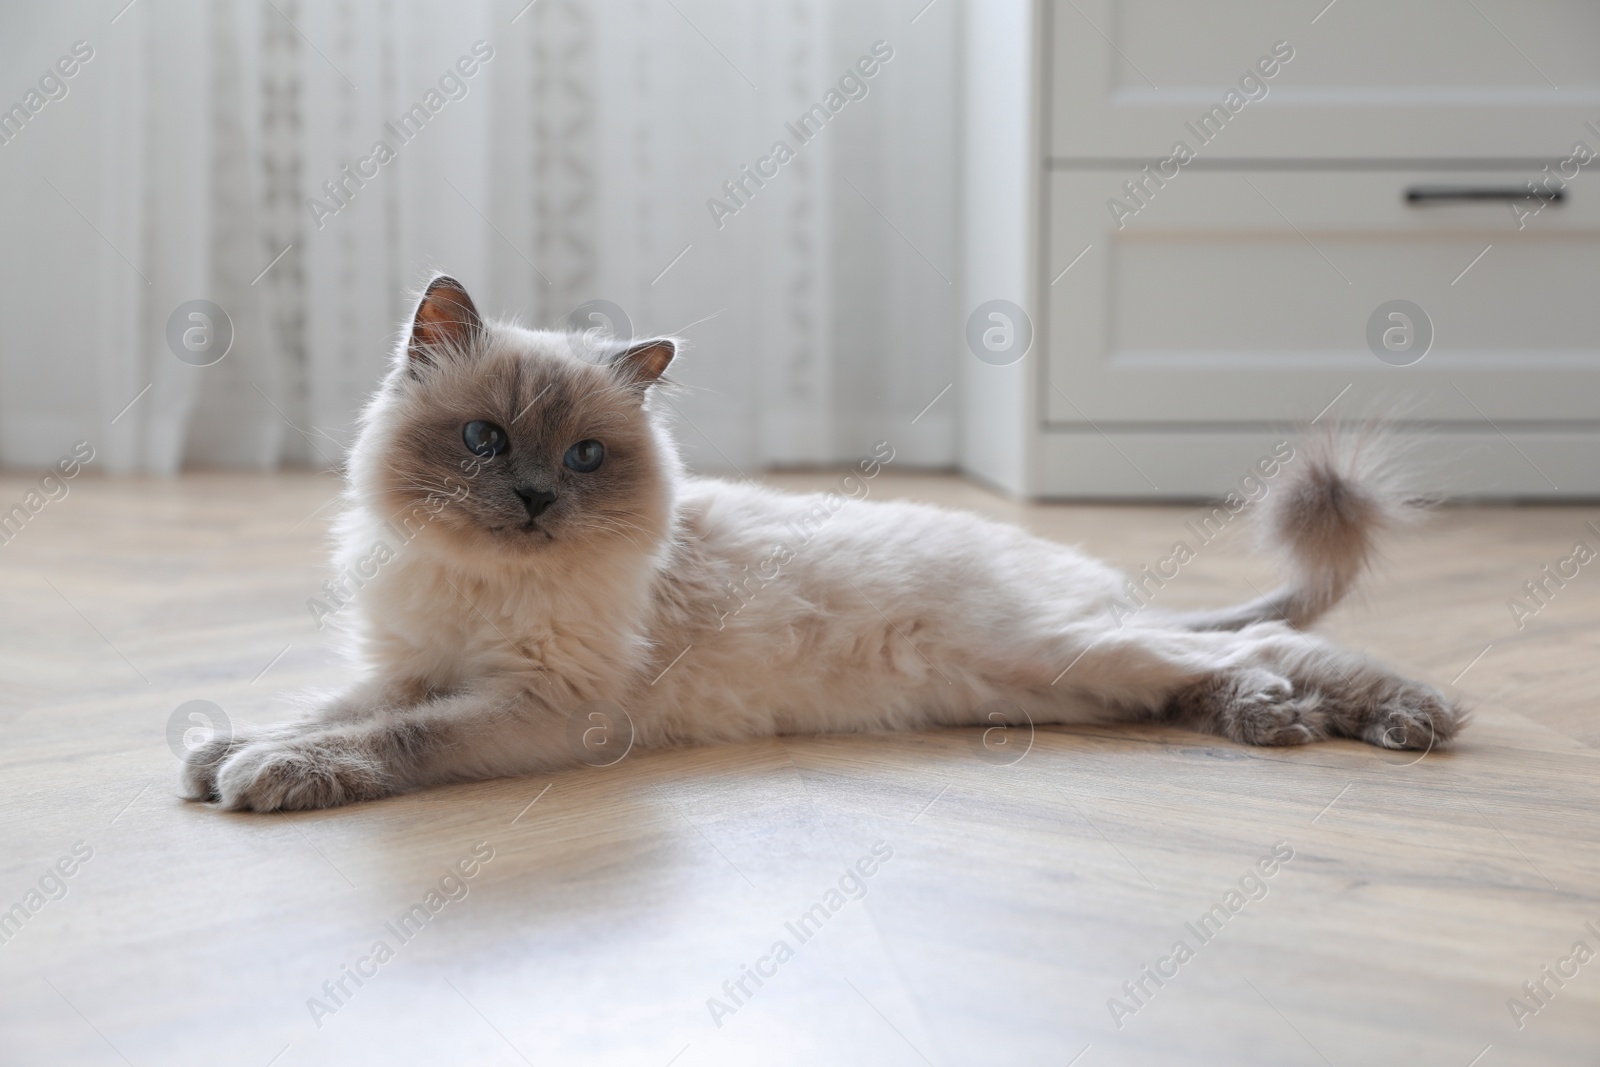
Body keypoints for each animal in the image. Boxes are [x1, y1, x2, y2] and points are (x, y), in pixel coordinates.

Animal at [181, 275, 1465, 809]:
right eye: (485, 440)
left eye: (585, 457)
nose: (538, 500)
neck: (481, 587)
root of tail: (1089, 585)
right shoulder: (412, 665)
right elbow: (326, 709)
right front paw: (224, 751)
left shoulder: (528, 706)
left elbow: (389, 740)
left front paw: (265, 773)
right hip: (1069, 682)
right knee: (1225, 670)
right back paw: (1293, 721)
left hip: (1067, 654)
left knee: (1265, 655)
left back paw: (1401, 718)